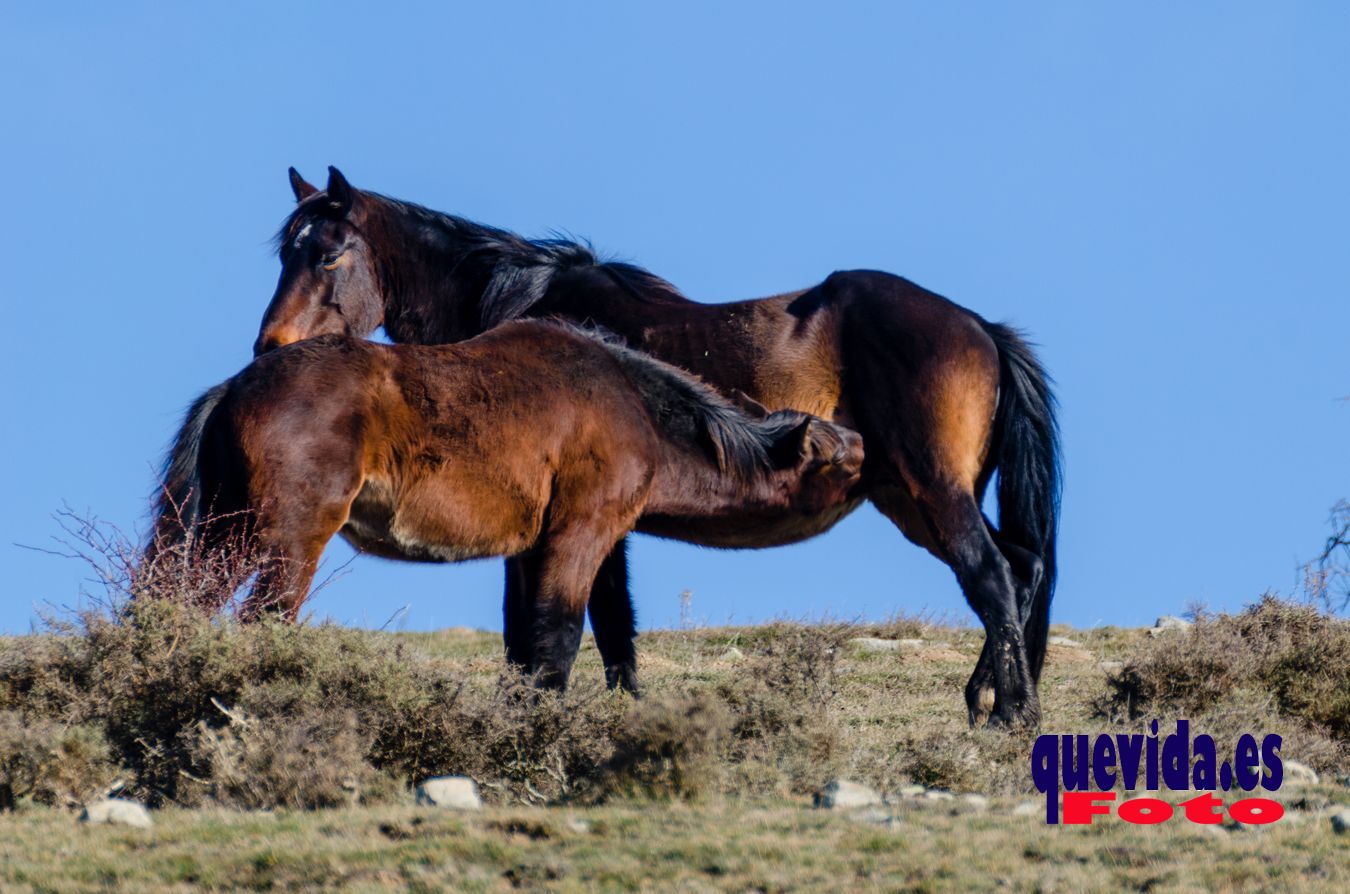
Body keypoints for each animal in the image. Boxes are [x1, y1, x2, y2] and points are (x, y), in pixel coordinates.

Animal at [150, 325, 864, 688]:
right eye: (833, 454)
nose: (863, 442)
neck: (631, 403)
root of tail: (234, 388)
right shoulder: (582, 532)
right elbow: (561, 636)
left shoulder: (544, 548)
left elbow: (583, 638)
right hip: (285, 541)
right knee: (263, 620)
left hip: (222, 537)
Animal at [257, 168, 1058, 729]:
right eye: (283, 253)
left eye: (329, 256)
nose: (272, 348)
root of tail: (981, 329)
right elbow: (594, 628)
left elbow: (575, 624)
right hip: (910, 500)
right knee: (1022, 570)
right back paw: (988, 699)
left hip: (931, 491)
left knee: (992, 576)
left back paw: (1011, 715)